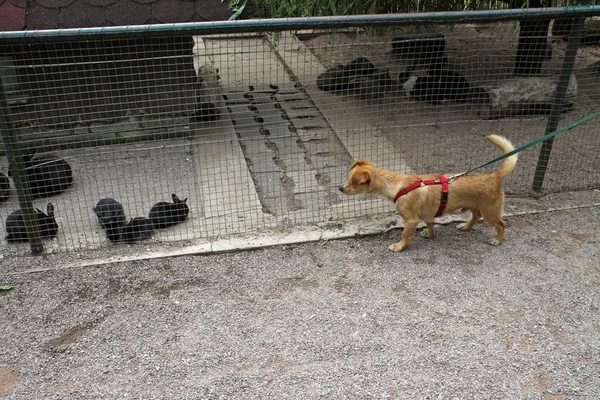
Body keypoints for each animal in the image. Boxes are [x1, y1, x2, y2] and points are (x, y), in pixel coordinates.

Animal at [340, 136, 516, 252]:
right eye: (347, 178)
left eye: (353, 183)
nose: (340, 188)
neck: (397, 184)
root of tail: (494, 177)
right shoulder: (427, 213)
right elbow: (430, 224)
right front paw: (429, 233)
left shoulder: (411, 220)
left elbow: (405, 234)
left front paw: (399, 246)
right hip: (475, 206)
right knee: (476, 216)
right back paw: (466, 226)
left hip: (490, 213)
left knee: (502, 224)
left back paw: (497, 240)